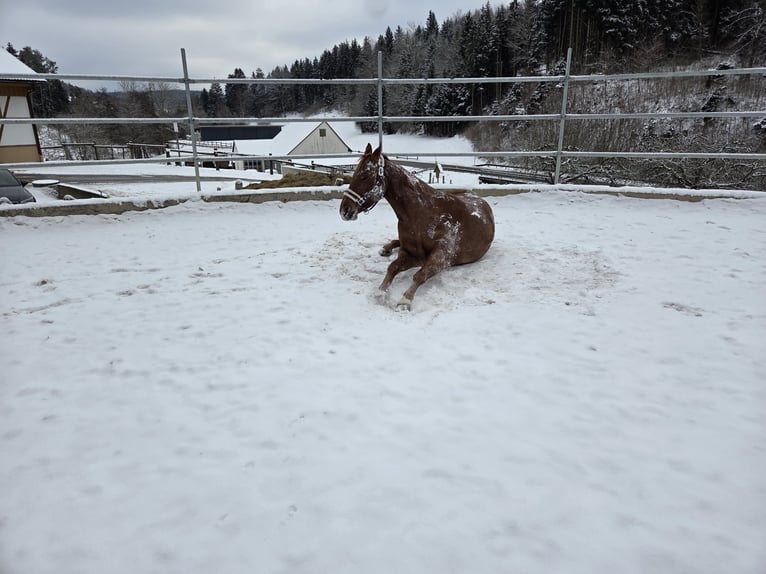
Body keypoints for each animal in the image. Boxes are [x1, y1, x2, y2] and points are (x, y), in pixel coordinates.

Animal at [339, 143, 495, 310]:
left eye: (365, 176)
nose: (344, 211)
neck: (424, 214)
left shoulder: (441, 258)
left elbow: (419, 275)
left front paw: (405, 300)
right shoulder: (410, 253)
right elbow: (392, 267)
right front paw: (380, 292)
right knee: (396, 241)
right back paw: (386, 248)